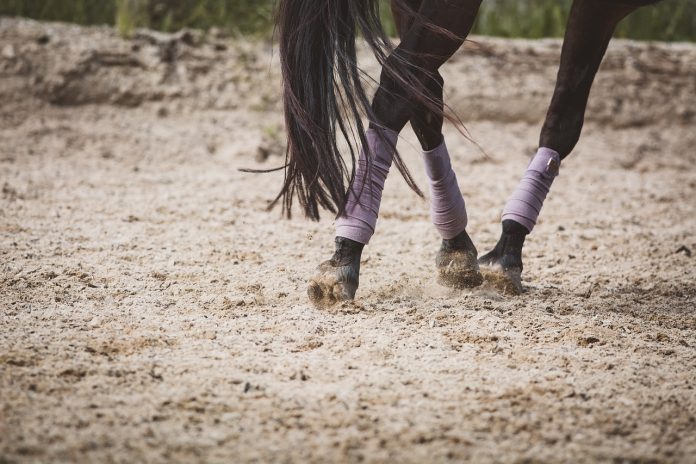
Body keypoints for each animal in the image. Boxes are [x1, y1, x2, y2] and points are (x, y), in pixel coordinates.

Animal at [271, 0, 662, 304]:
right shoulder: (602, 5)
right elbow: (564, 117)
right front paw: (508, 248)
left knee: (420, 86)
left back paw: (452, 245)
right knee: (402, 79)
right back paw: (347, 255)